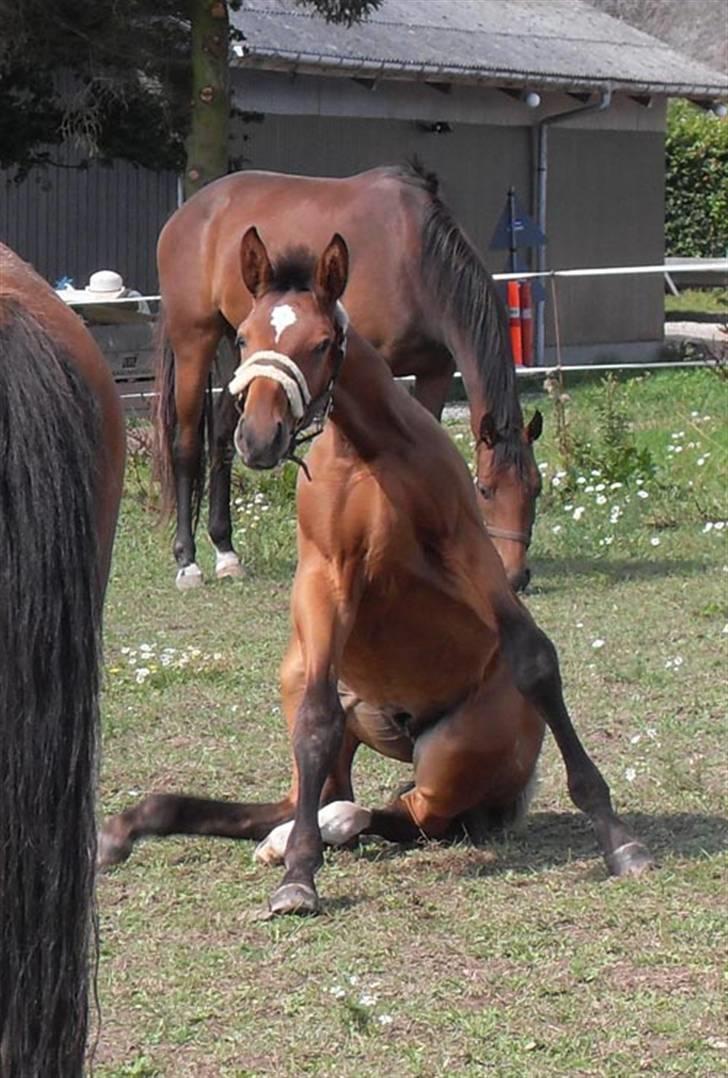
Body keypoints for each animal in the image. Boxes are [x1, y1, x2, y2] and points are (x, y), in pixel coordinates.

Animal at [99, 231, 651, 914]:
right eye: (246, 338)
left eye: (320, 344)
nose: (259, 437)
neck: (370, 451)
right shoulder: (326, 577)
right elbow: (316, 720)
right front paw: (299, 878)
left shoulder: (466, 549)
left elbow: (535, 658)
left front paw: (618, 839)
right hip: (306, 686)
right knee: (311, 793)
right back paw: (162, 828)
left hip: (450, 756)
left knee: (405, 816)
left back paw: (321, 827)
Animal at [154, 161, 541, 590]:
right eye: (485, 490)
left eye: (535, 490)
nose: (515, 576)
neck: (414, 257)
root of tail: (187, 213)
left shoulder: (436, 371)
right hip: (195, 342)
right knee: (187, 446)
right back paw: (187, 560)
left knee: (222, 437)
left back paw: (226, 551)